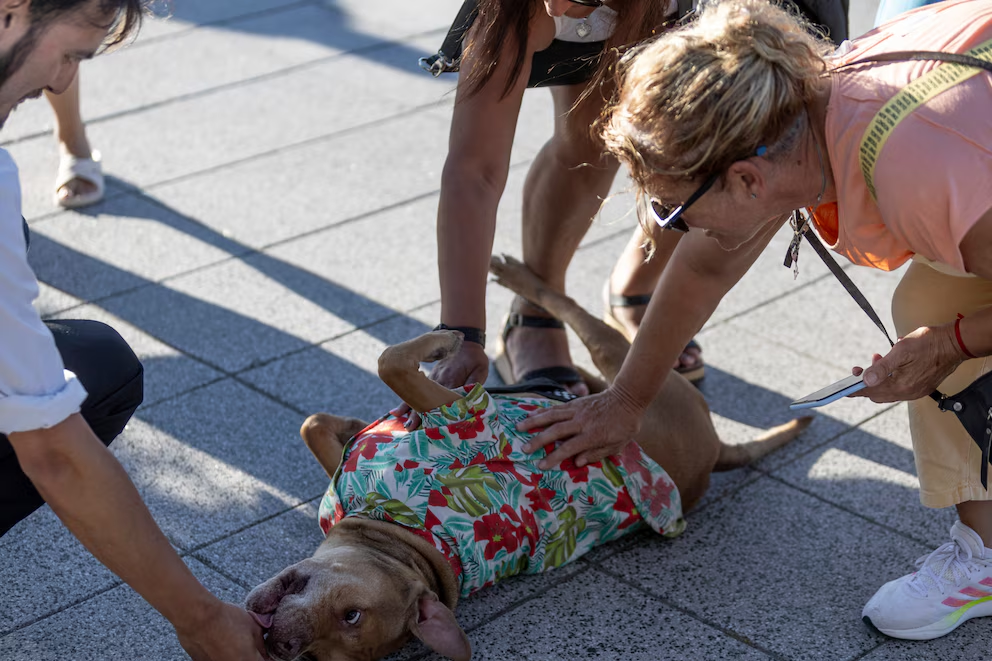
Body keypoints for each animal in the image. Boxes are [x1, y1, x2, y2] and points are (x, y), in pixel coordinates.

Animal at [244, 256, 808, 660]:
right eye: (315, 658)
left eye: (352, 618)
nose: (280, 645)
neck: (406, 540)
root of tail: (716, 452)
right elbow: (316, 422)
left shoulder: (451, 408)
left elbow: (390, 363)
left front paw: (444, 341)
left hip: (630, 367)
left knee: (577, 310)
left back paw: (517, 278)